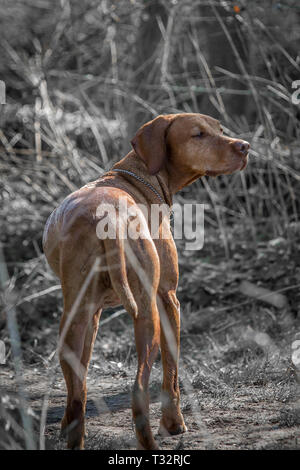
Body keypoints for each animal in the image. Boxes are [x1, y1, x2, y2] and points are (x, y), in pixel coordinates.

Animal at [42, 112, 248, 450]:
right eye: (198, 134)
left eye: (220, 129)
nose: (244, 146)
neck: (137, 173)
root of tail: (109, 219)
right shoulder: (168, 298)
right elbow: (172, 371)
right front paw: (174, 424)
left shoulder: (92, 315)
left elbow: (78, 385)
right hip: (148, 313)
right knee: (138, 389)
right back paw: (150, 444)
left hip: (72, 322)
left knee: (77, 394)